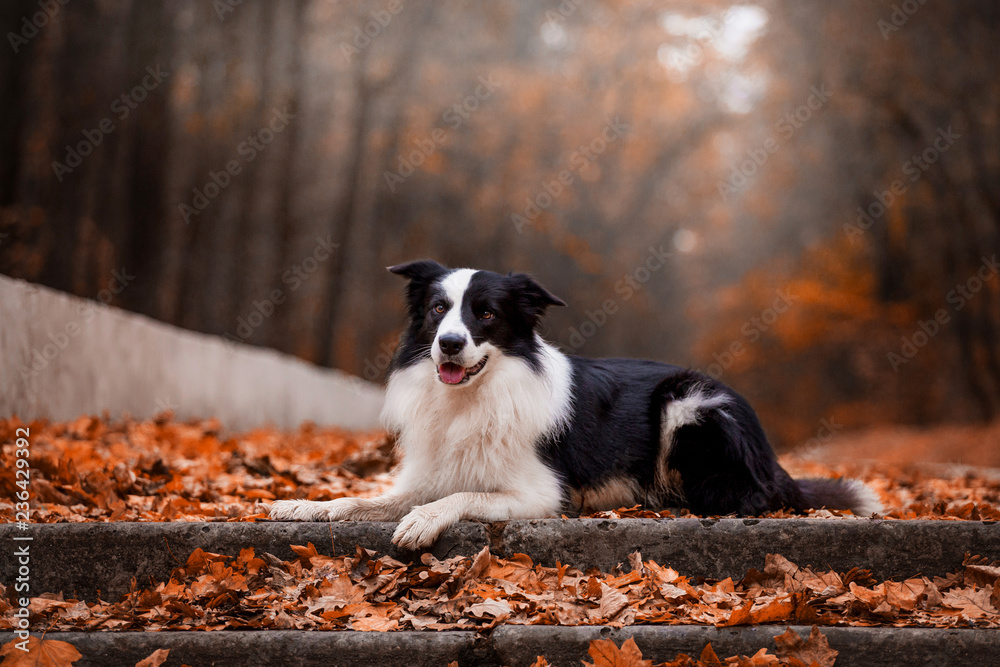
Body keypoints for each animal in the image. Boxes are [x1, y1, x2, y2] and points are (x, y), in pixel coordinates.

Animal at [270, 260, 880, 548]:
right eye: (438, 309)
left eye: (486, 314)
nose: (450, 343)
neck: (474, 395)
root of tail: (773, 458)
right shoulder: (429, 473)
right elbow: (361, 499)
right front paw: (303, 505)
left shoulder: (539, 495)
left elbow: (463, 496)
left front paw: (422, 522)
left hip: (688, 402)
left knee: (743, 498)